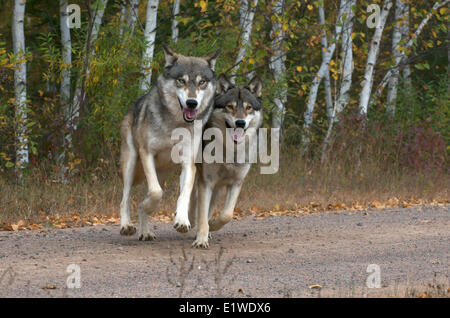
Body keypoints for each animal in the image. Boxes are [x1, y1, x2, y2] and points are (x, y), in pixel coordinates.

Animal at [118, 45, 219, 241]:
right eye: (181, 80)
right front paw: (149, 206)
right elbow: (156, 193)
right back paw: (127, 225)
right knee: (125, 197)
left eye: (202, 82)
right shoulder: (146, 153)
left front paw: (182, 220)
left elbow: (184, 194)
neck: (175, 125)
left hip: (162, 172)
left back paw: (145, 232)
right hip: (131, 163)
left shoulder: (188, 163)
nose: (192, 103)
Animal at [191, 75, 262, 248]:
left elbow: (227, 215)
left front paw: (212, 225)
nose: (240, 123)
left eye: (248, 107)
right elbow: (202, 214)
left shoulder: (236, 183)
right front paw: (201, 240)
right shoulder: (206, 182)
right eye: (230, 107)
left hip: (217, 189)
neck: (230, 151)